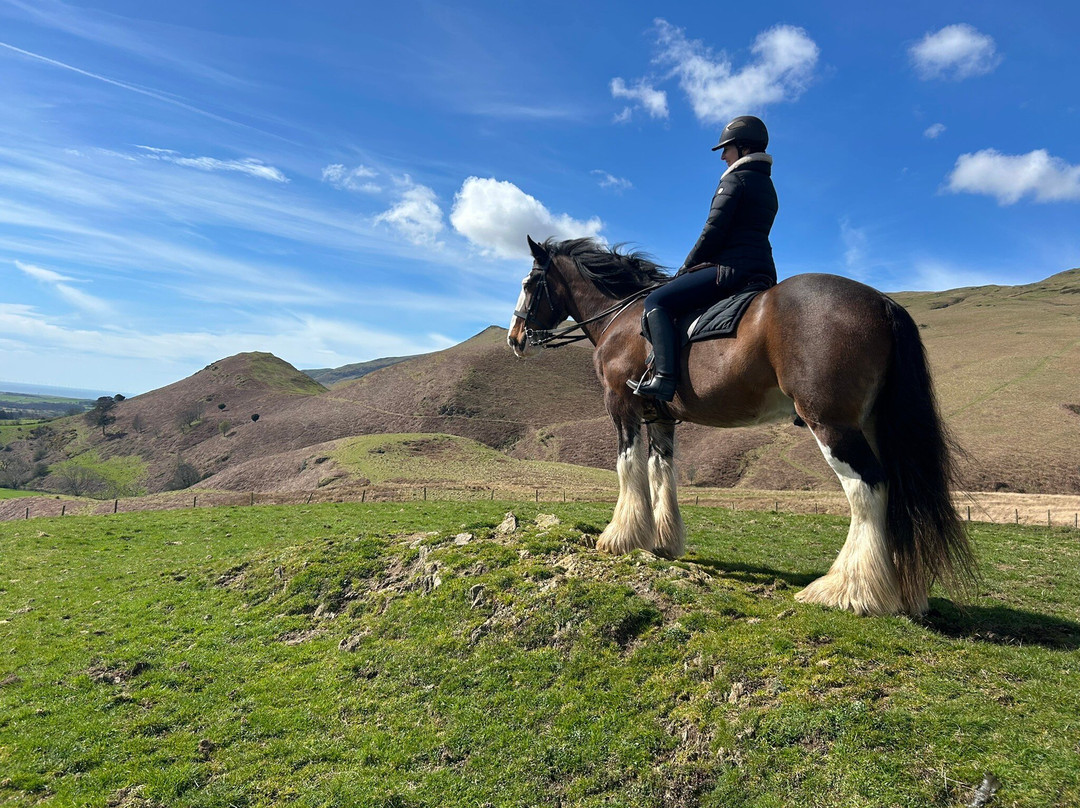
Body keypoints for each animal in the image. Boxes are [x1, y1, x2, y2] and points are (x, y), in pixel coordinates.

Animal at [508, 236, 974, 617]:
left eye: (530, 283)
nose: (514, 338)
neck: (623, 317)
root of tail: (881, 302)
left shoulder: (621, 405)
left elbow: (627, 466)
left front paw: (620, 537)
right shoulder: (661, 418)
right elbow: (661, 472)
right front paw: (663, 542)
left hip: (832, 425)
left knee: (869, 488)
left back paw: (848, 590)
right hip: (874, 426)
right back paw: (900, 592)